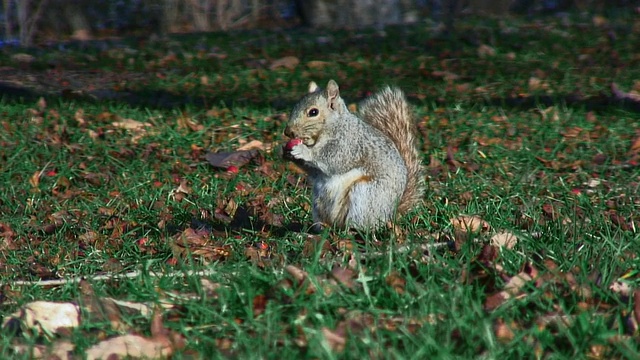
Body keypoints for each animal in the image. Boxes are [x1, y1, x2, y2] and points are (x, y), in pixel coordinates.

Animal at [284, 80, 424, 229]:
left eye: (313, 112)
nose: (287, 132)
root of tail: (390, 215)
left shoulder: (349, 145)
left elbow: (333, 159)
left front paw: (303, 150)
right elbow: (315, 172)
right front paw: (286, 152)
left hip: (364, 196)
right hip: (318, 201)